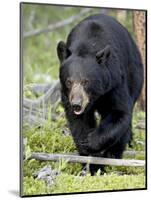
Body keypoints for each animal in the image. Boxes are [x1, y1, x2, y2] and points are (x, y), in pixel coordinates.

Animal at [57, 14, 144, 174]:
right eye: (69, 81)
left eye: (86, 81)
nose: (77, 104)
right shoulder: (67, 96)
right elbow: (78, 122)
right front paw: (90, 161)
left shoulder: (115, 81)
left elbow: (119, 112)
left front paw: (92, 143)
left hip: (135, 75)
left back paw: (115, 154)